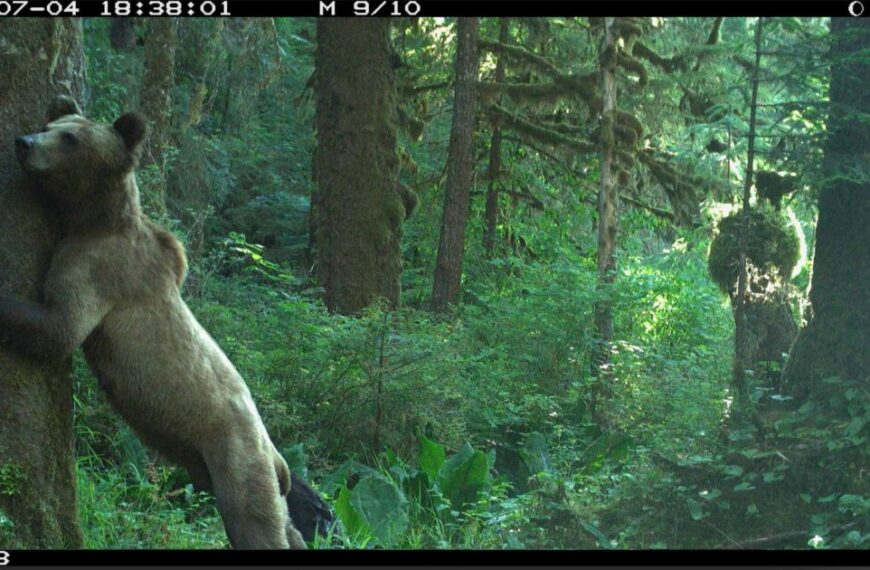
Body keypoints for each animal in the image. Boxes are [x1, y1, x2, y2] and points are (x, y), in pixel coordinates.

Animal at [0, 95, 306, 549]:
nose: (24, 142)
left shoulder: (98, 268)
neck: (92, 218)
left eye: (71, 138)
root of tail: (275, 454)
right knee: (285, 521)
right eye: (50, 124)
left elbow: (58, 329)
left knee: (254, 523)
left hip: (235, 454)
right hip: (245, 468)